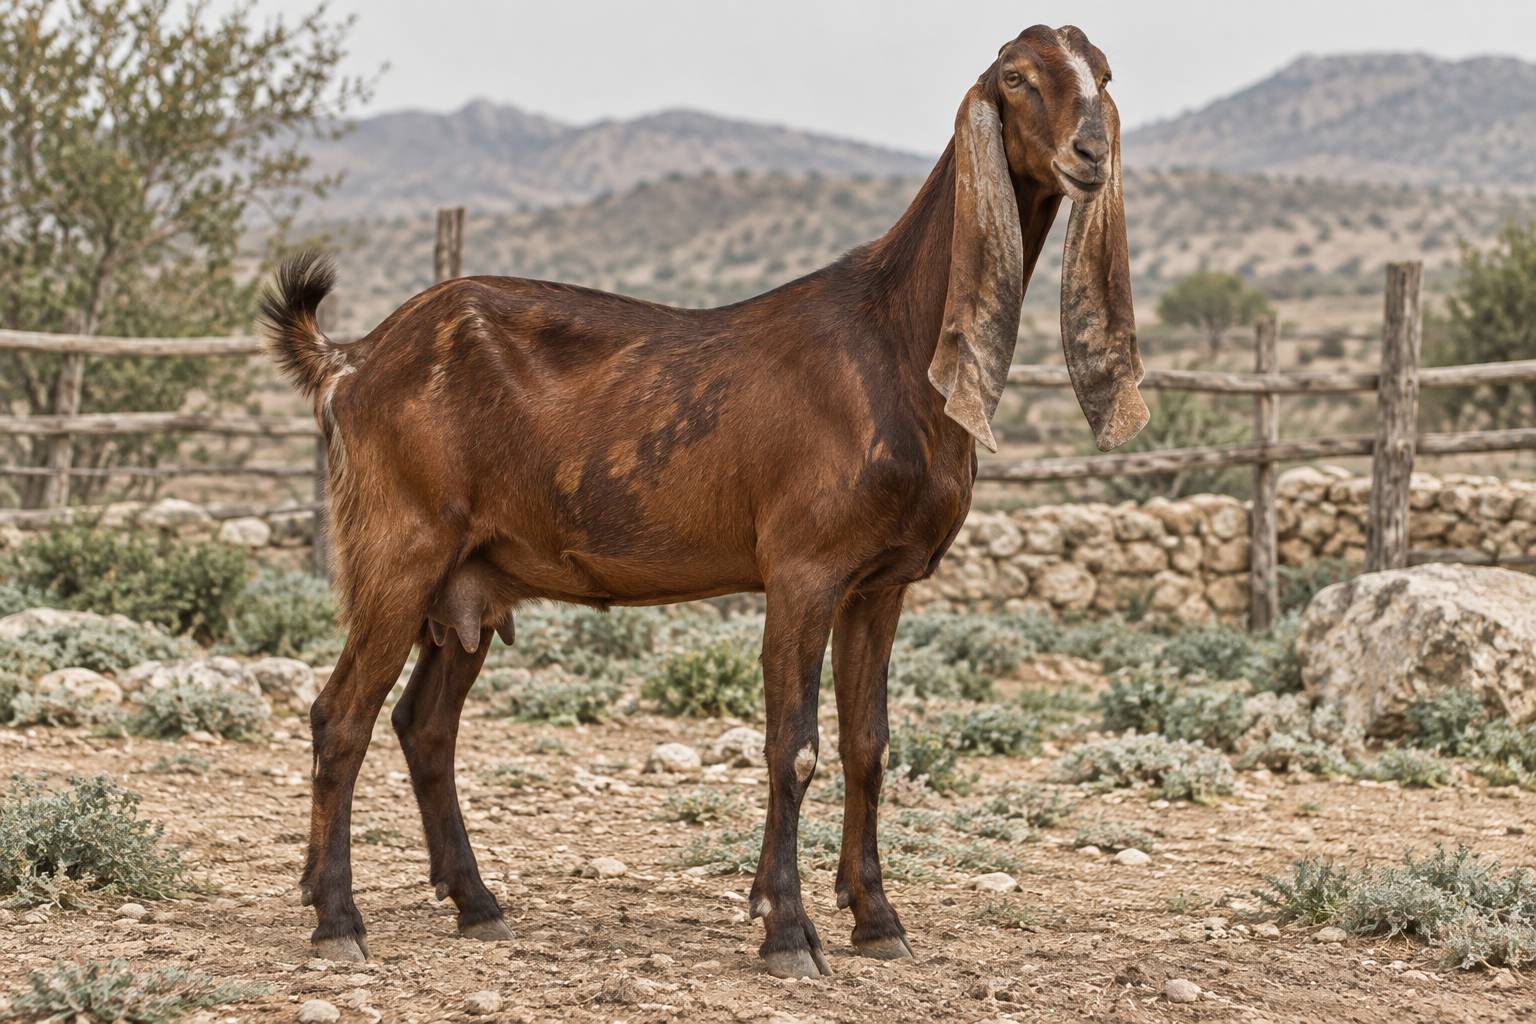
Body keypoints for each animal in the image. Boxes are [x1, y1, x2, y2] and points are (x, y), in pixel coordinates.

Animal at [261, 23, 1145, 979]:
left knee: (424, 726)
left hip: (469, 579)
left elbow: (868, 747)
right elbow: (793, 748)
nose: (1090, 152)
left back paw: (476, 904)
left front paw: (878, 920)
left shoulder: (880, 583)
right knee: (340, 716)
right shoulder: (803, 569)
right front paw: (788, 930)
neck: (894, 340)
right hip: (401, 547)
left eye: (1103, 74)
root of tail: (354, 359)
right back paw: (337, 918)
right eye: (1015, 78)